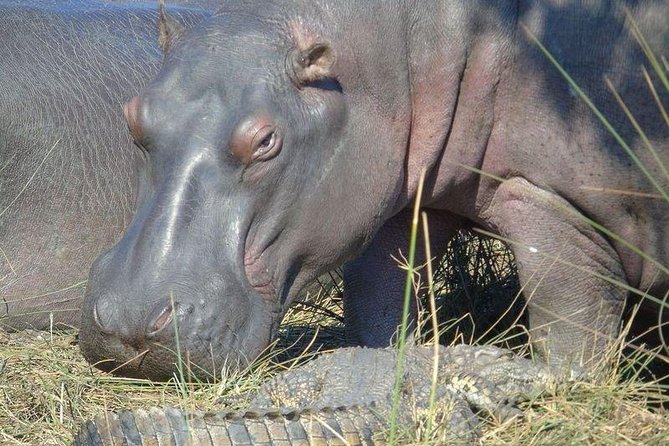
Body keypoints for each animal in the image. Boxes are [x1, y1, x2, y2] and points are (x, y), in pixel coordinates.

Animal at [74, 0, 668, 380]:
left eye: (266, 141)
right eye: (133, 115)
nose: (128, 321)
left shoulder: (555, 202)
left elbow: (566, 313)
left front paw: (564, 383)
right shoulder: (400, 198)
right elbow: (376, 290)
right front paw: (382, 361)